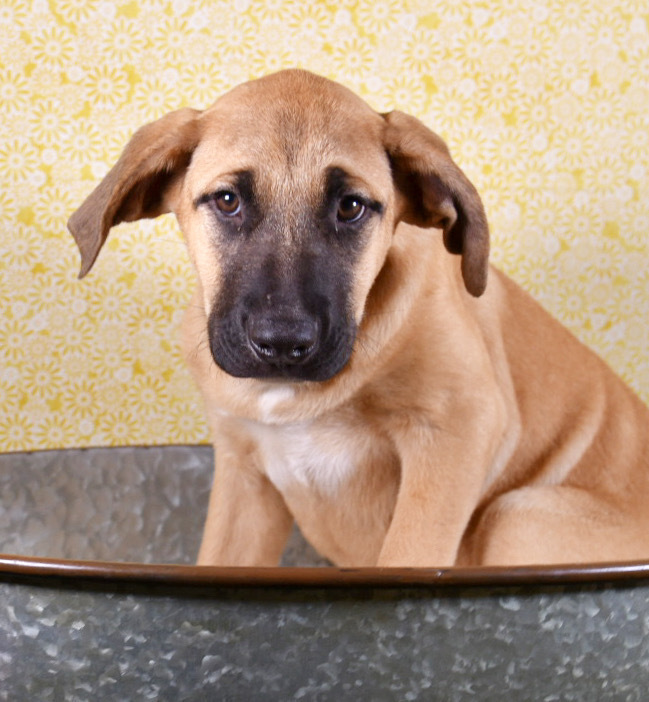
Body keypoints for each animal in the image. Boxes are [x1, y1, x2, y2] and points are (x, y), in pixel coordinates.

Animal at [68, 69, 648, 568]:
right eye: (227, 200)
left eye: (350, 207)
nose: (282, 343)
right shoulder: (243, 476)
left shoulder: (457, 429)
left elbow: (407, 558)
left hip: (517, 516)